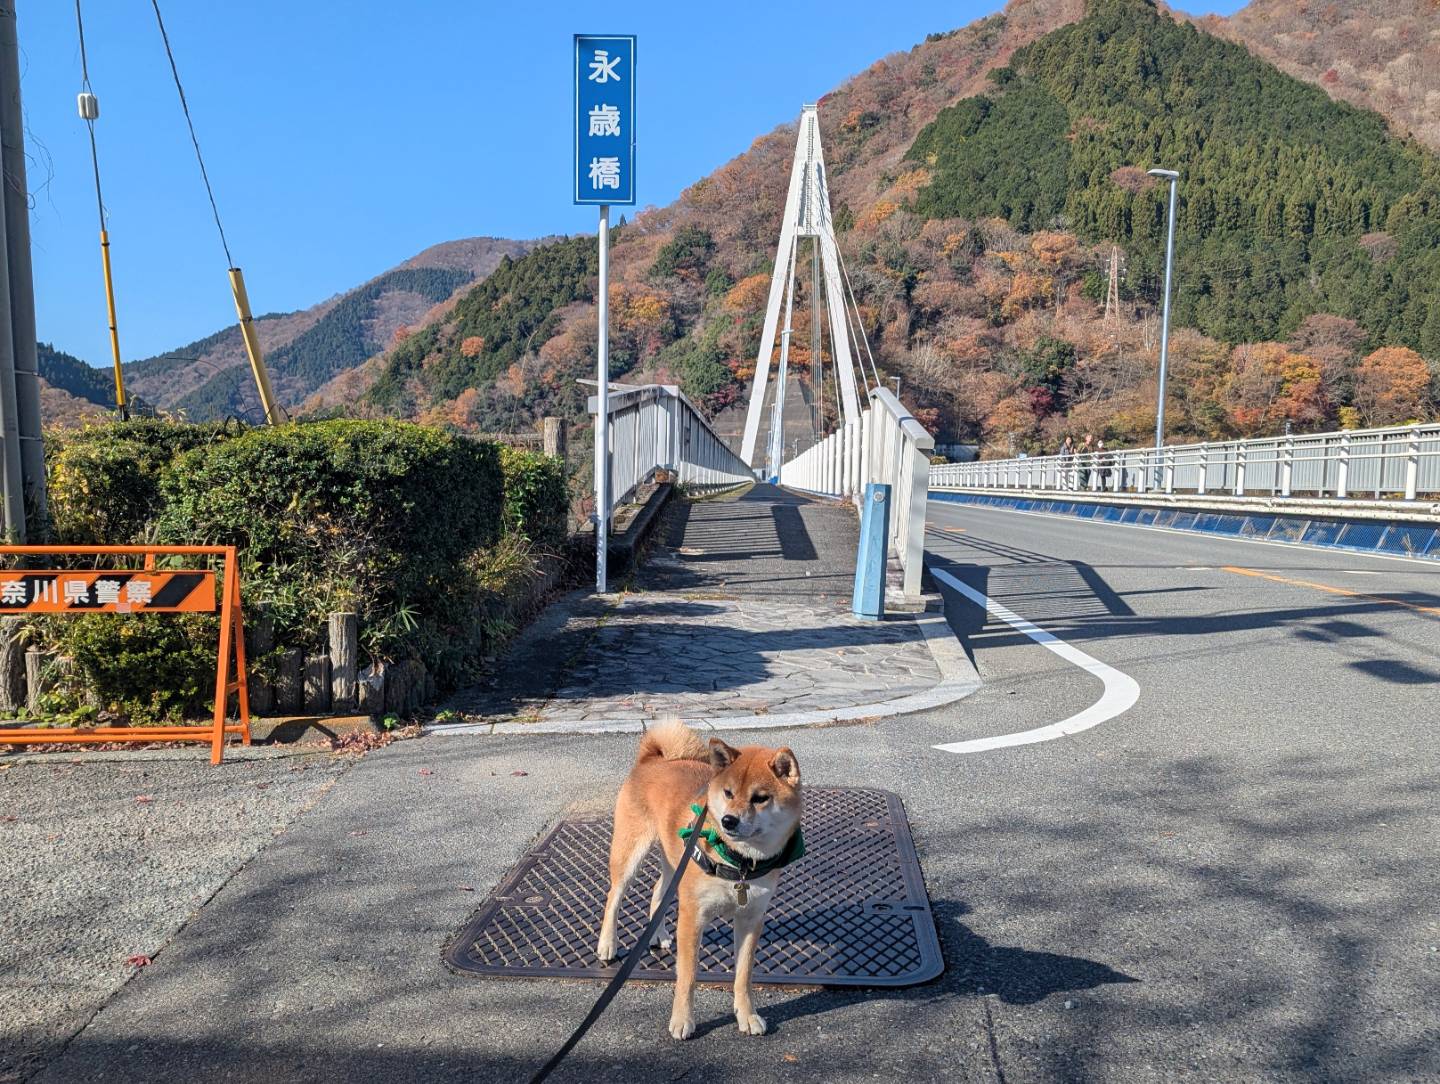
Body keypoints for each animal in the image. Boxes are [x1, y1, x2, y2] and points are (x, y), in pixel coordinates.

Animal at [595, 721, 804, 1040]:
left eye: (760, 798)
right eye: (728, 793)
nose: (729, 820)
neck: (739, 863)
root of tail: (652, 760)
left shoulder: (751, 918)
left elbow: (743, 976)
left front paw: (747, 1015)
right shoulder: (693, 915)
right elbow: (688, 976)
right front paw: (682, 1020)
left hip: (675, 861)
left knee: (658, 891)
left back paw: (657, 934)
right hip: (630, 854)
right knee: (614, 897)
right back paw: (607, 943)